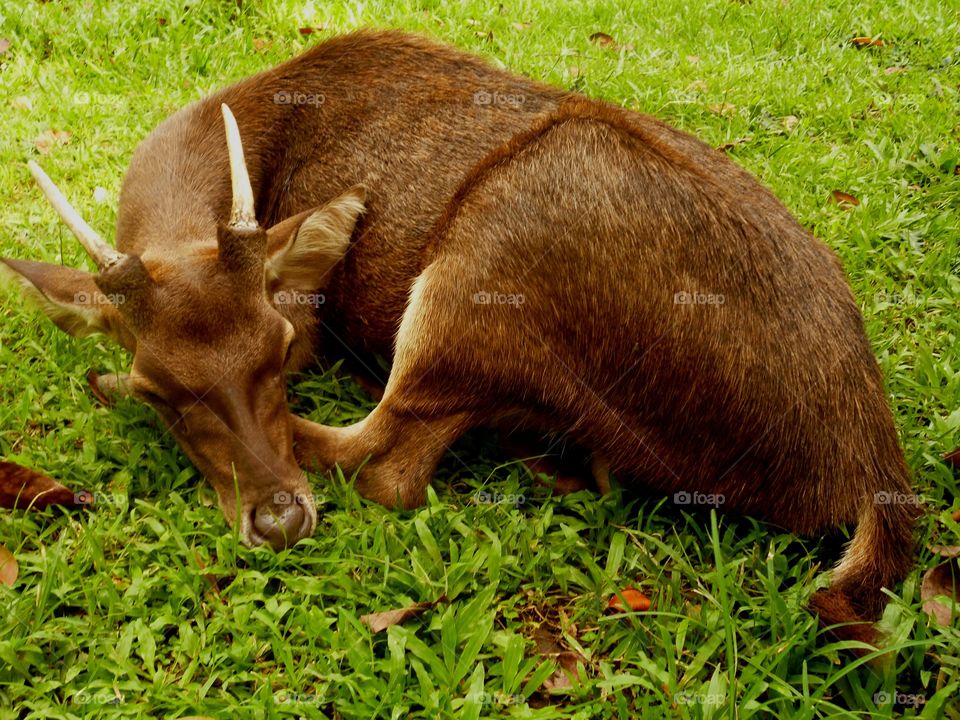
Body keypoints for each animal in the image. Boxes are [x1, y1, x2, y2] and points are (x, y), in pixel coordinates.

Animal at [0, 30, 917, 650]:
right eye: (159, 389)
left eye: (277, 343)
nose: (278, 517)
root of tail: (867, 467)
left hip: (493, 245)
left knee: (387, 462)